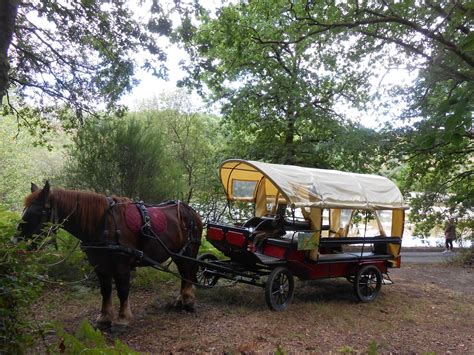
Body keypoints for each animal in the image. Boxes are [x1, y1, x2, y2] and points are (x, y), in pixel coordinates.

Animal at [13, 182, 203, 332]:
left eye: (35, 212)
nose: (15, 242)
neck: (103, 223)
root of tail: (190, 210)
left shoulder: (122, 266)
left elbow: (123, 290)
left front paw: (122, 319)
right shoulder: (100, 266)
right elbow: (105, 290)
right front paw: (104, 318)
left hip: (189, 251)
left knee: (188, 272)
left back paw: (188, 300)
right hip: (178, 254)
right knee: (184, 273)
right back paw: (181, 299)